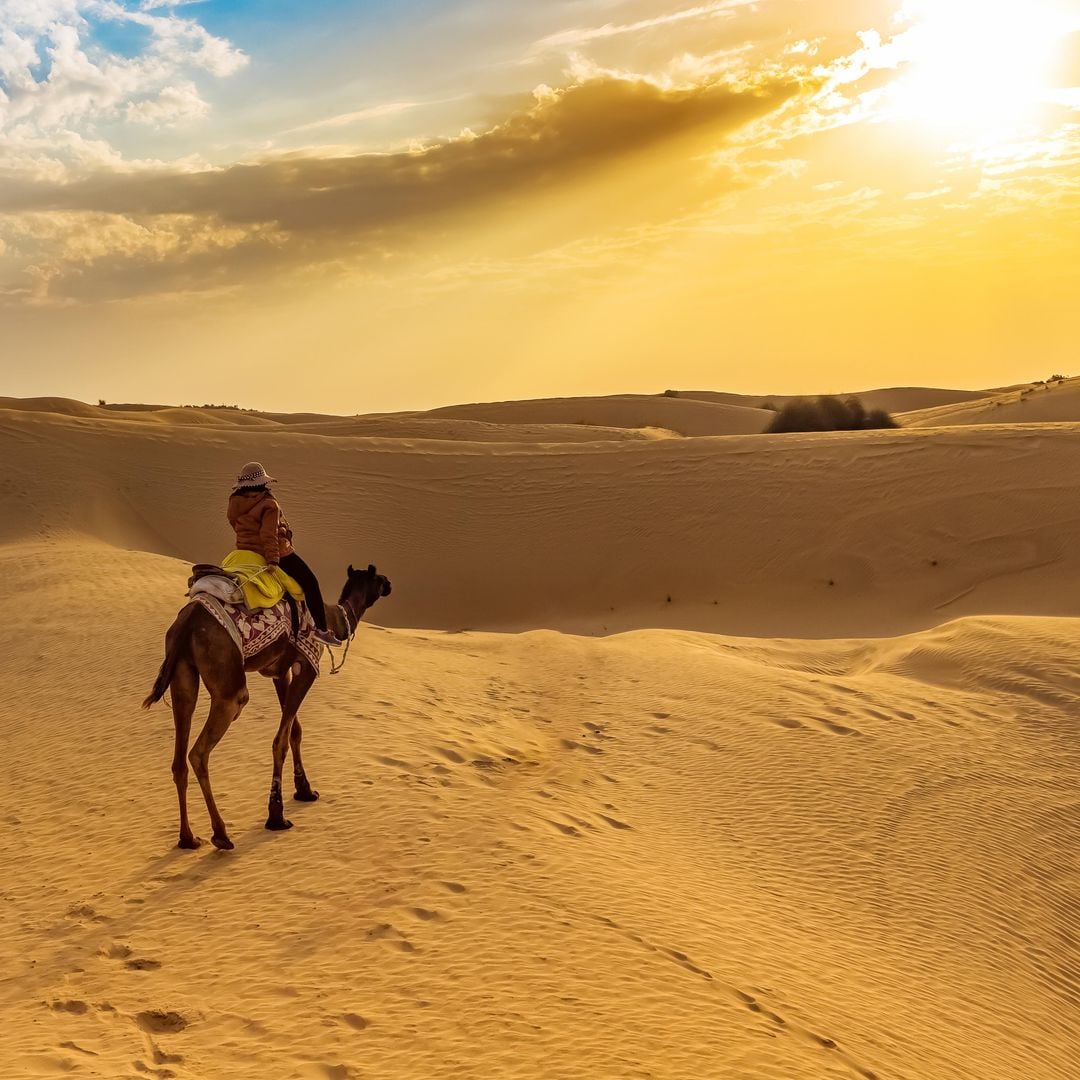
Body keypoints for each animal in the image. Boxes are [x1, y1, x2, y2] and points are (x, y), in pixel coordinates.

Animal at [143, 561, 393, 846]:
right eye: (379, 578)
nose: (389, 584)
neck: (331, 619)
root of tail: (187, 623)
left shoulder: (280, 672)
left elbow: (295, 731)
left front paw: (305, 790)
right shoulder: (307, 667)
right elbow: (280, 740)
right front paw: (277, 816)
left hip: (182, 672)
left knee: (179, 757)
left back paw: (188, 838)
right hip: (228, 685)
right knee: (199, 751)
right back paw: (221, 834)